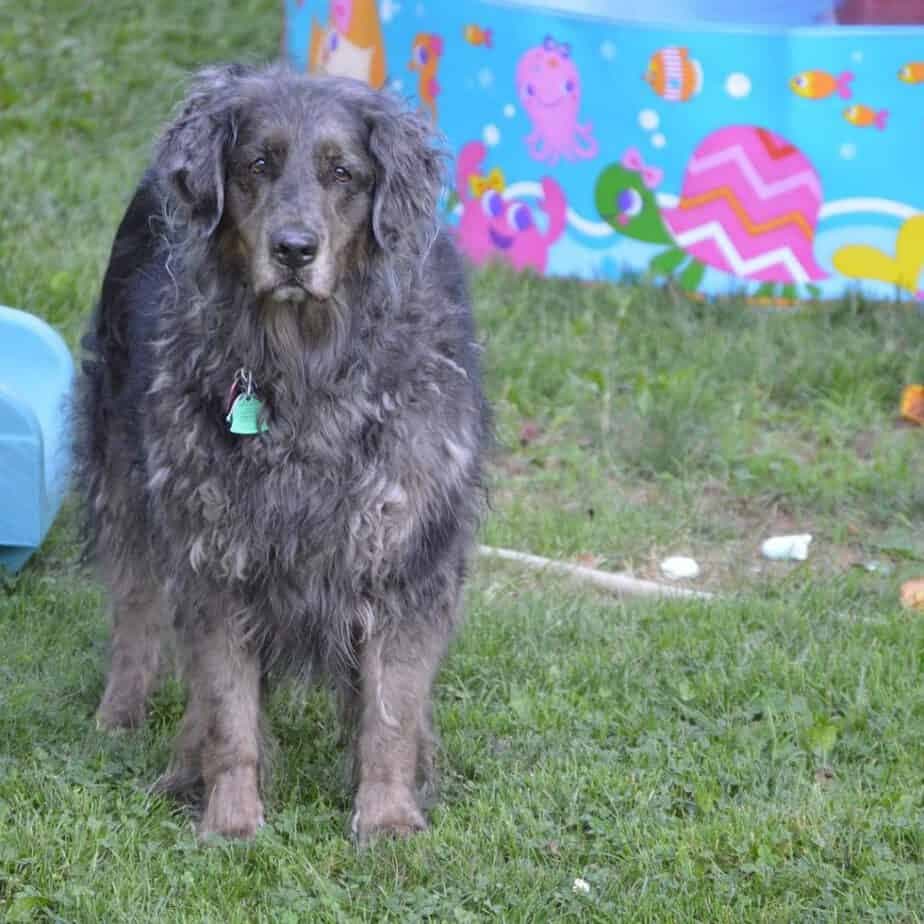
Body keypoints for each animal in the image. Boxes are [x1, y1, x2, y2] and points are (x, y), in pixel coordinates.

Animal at [77, 63, 490, 844]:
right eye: (256, 165)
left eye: (344, 173)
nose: (294, 249)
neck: (305, 364)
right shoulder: (216, 554)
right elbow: (228, 711)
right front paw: (232, 818)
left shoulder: (404, 554)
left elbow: (391, 708)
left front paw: (388, 815)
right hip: (123, 469)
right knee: (137, 609)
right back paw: (131, 722)